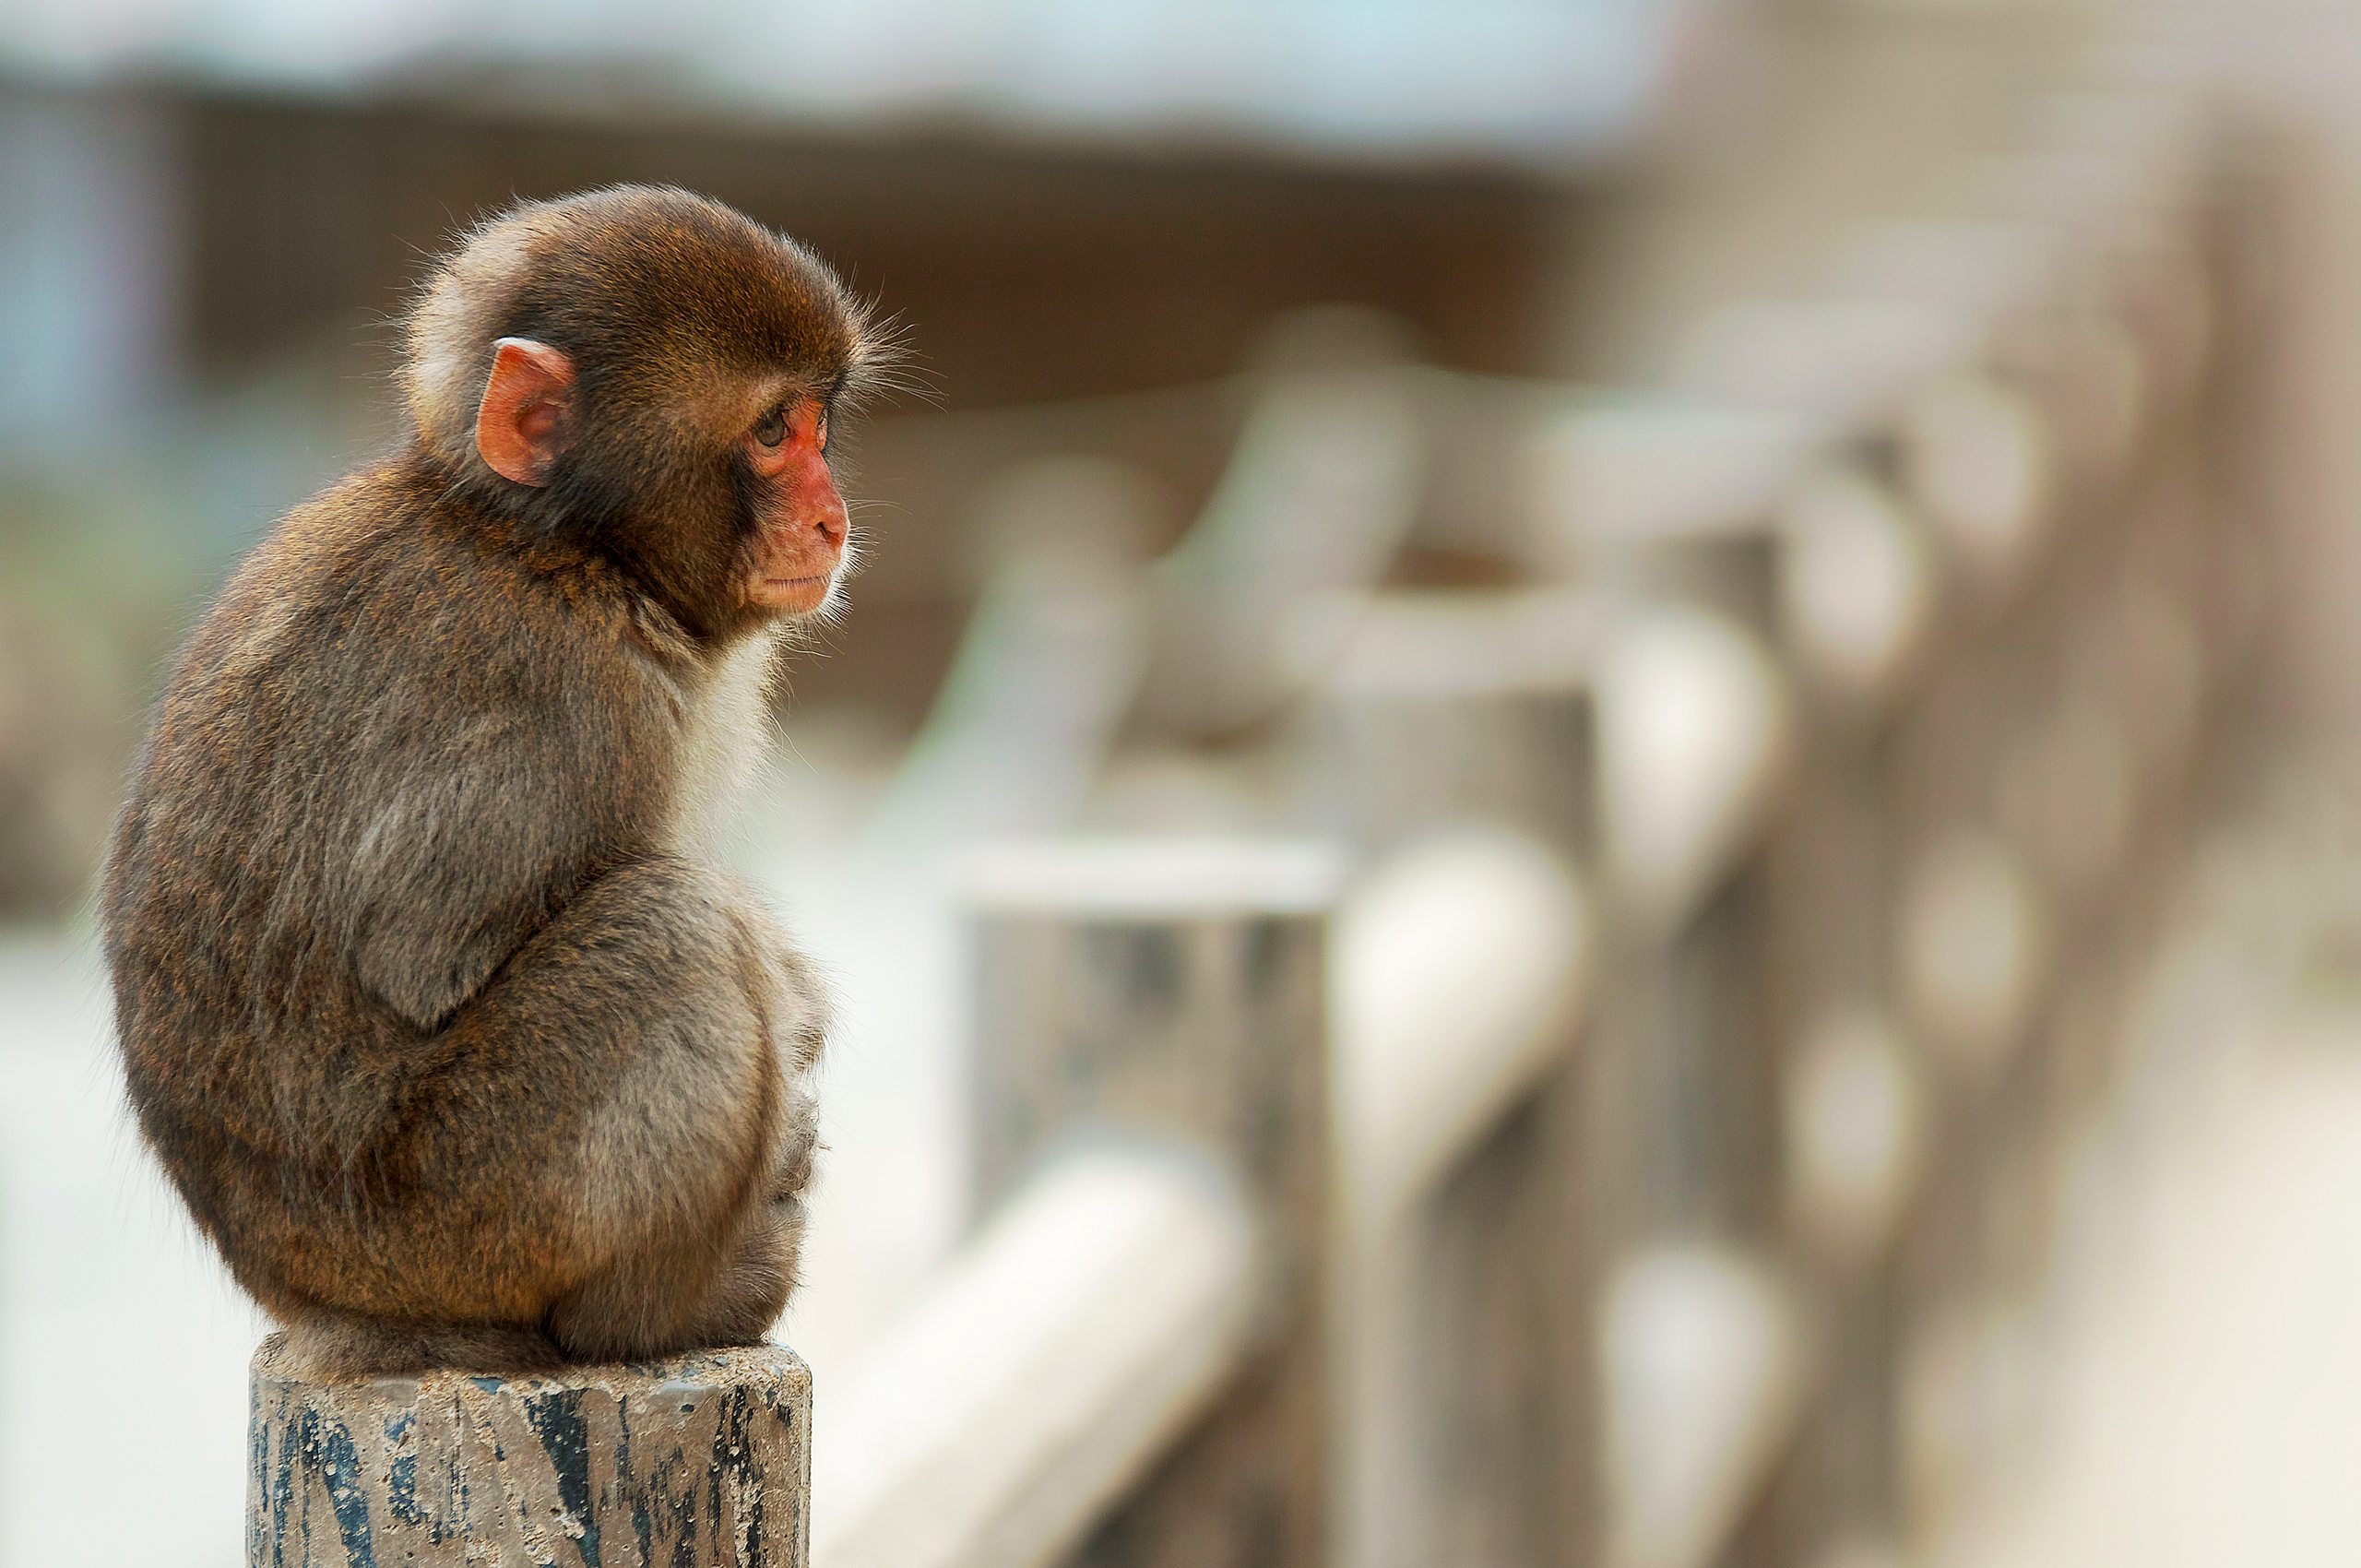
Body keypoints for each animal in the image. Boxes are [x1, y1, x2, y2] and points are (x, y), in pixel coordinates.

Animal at [101, 186, 892, 1388]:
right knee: (673, 924)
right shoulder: (562, 697)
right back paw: (665, 1311)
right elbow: (426, 958)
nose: (831, 517)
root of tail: (320, 1302)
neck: (562, 548)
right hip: (461, 1216)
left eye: (817, 425)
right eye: (769, 432)